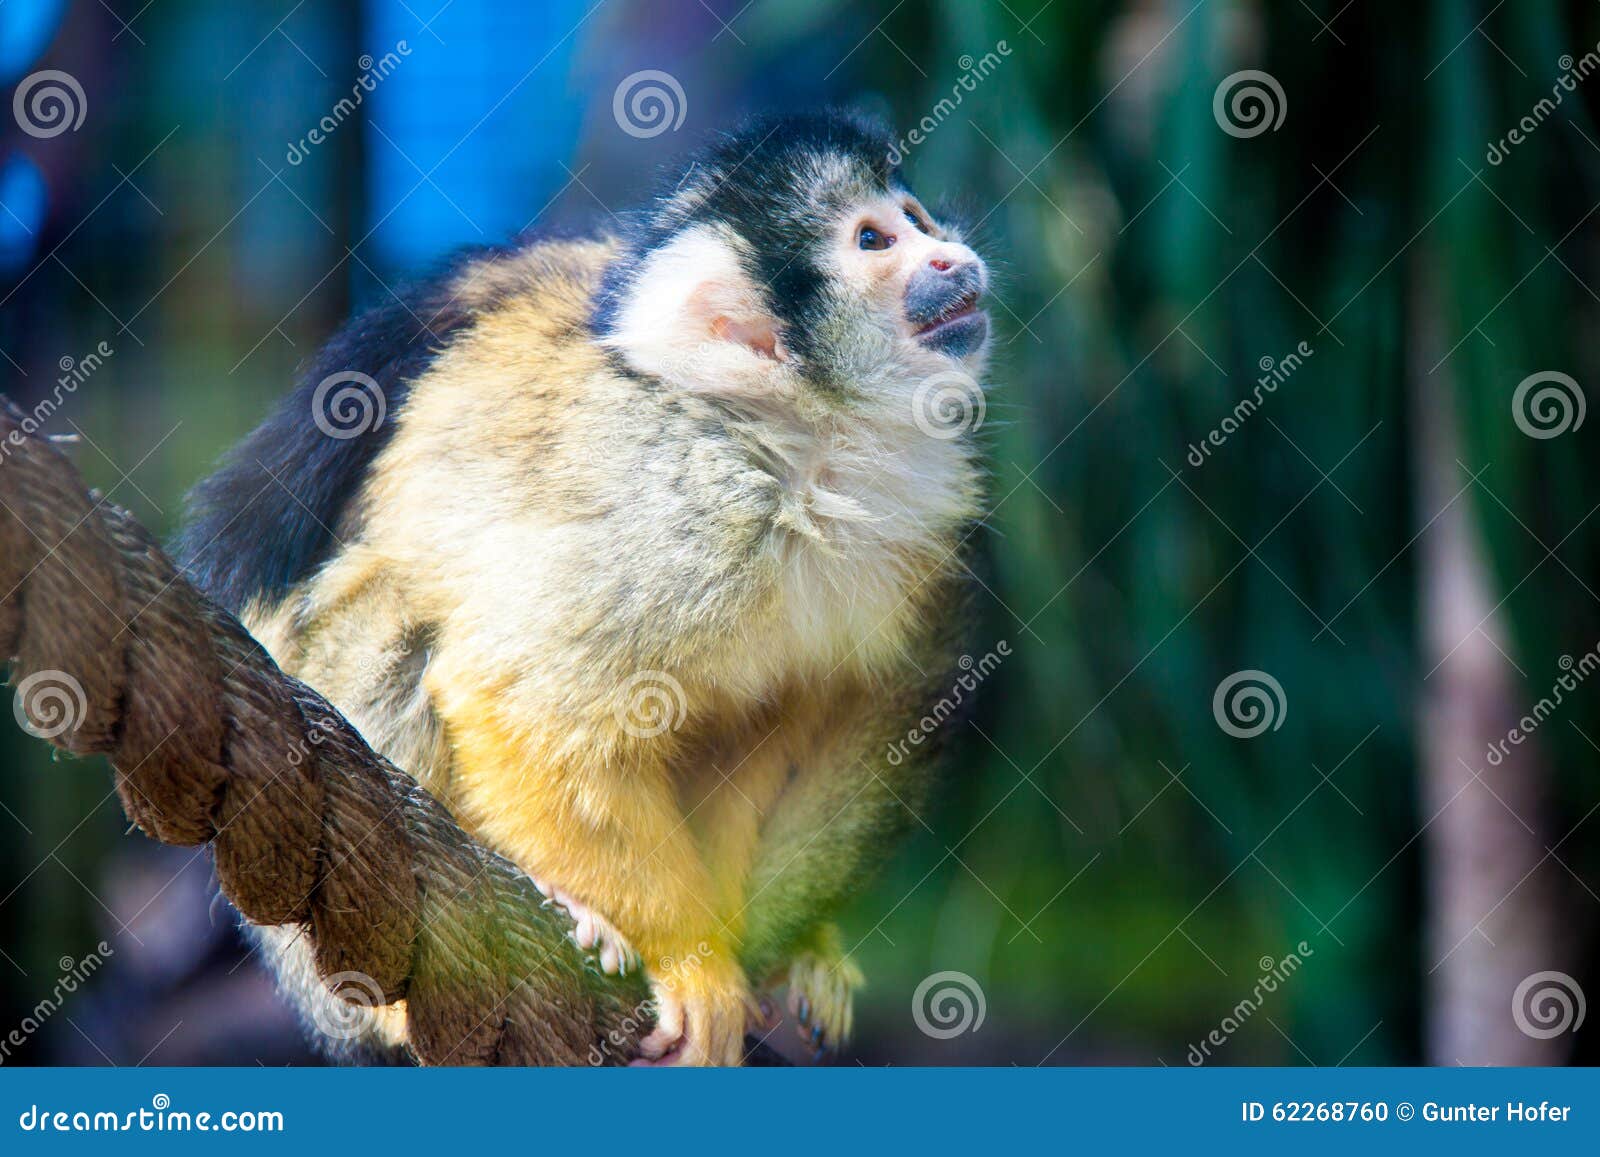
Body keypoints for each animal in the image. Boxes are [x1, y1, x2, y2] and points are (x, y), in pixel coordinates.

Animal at [181, 112, 992, 1062]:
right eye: (874, 242)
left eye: (917, 218)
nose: (952, 257)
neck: (794, 451)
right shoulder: (675, 521)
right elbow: (523, 703)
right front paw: (691, 961)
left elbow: (768, 727)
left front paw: (751, 952)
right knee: (399, 620)